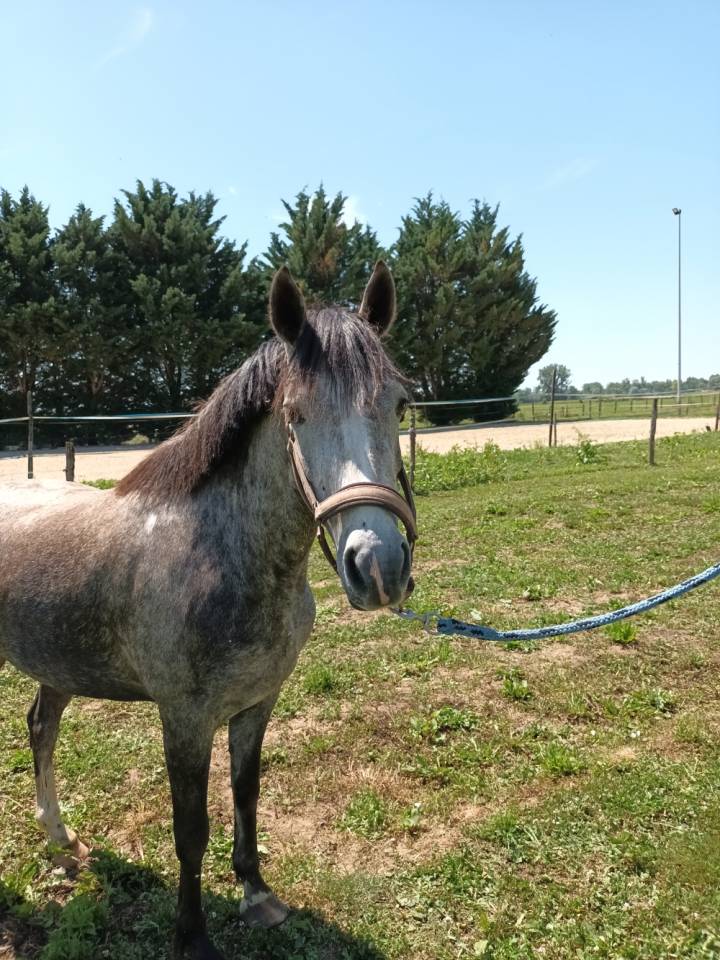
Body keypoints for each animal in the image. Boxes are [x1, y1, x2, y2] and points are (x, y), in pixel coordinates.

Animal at [0, 262, 416, 960]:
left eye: (399, 405)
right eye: (296, 414)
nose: (378, 565)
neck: (220, 551)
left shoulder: (256, 703)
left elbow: (246, 792)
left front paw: (256, 893)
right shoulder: (185, 718)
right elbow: (190, 827)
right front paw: (192, 935)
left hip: (57, 662)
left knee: (41, 727)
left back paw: (62, 841)